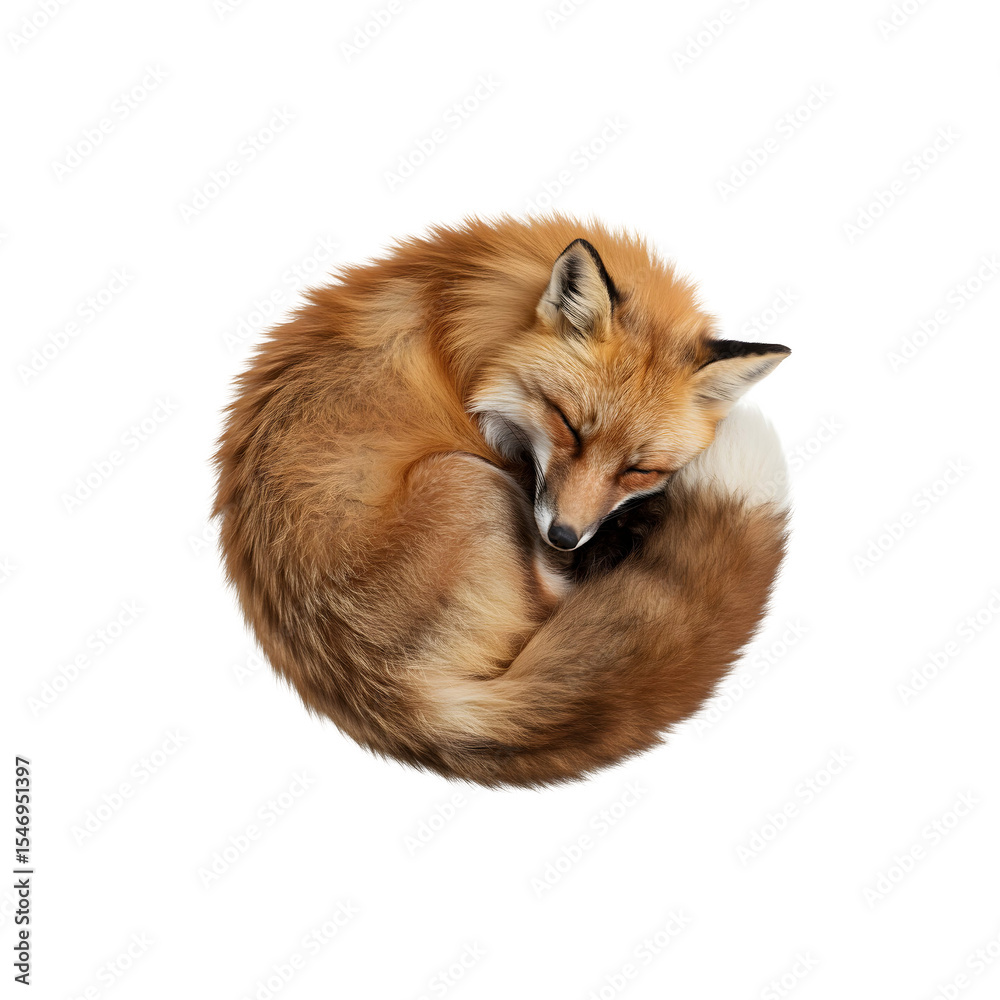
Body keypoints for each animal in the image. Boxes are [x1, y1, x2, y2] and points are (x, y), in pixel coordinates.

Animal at [213, 215, 791, 788]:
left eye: (639, 469)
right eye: (568, 425)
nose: (564, 536)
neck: (458, 311)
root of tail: (392, 695)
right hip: (467, 480)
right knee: (554, 599)